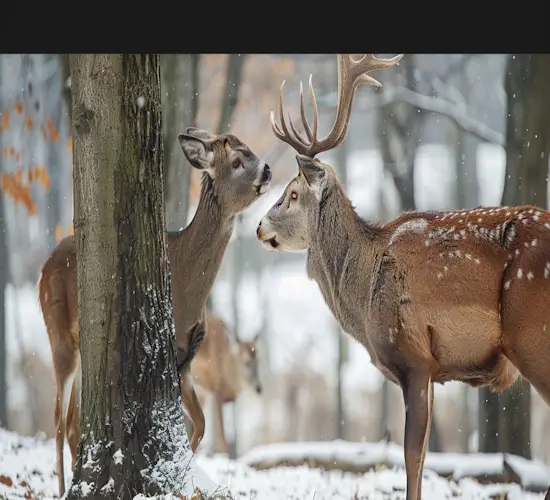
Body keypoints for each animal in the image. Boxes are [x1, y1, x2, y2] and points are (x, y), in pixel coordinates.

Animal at [192, 308, 264, 454]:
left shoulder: (205, 392)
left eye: (258, 361)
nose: (259, 388)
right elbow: (221, 437)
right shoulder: (215, 389)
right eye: (246, 363)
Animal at [256, 53, 550, 500]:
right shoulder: (432, 370)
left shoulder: (413, 356)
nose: (258, 227)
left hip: (533, 335)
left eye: (291, 193)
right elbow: (423, 456)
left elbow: (412, 456)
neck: (364, 290)